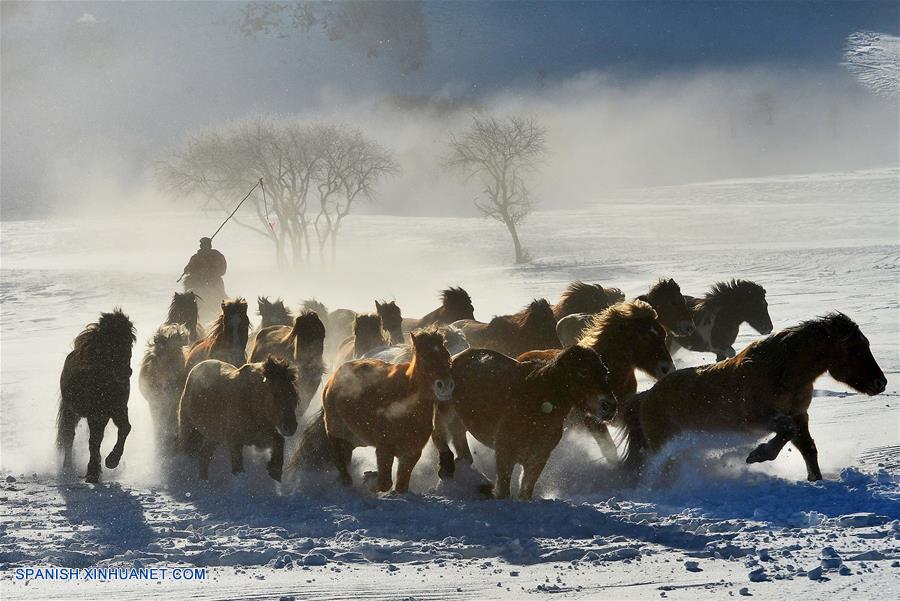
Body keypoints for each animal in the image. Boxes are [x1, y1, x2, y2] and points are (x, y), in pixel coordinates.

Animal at [58, 310, 137, 482]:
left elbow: (125, 428)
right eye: (110, 342)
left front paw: (111, 461)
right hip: (70, 411)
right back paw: (67, 467)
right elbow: (94, 440)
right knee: (69, 436)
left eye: (129, 341)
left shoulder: (117, 409)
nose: (125, 372)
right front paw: (93, 472)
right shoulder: (96, 413)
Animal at [320, 328, 454, 492]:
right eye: (424, 358)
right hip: (336, 431)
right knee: (340, 462)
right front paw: (371, 481)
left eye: (447, 356)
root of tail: (335, 375)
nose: (445, 385)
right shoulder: (384, 449)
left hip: (356, 438)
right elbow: (385, 484)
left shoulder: (411, 453)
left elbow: (401, 486)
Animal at [438, 344, 620, 500]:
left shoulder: (538, 458)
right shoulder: (504, 453)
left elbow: (525, 492)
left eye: (605, 372)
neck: (538, 402)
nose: (609, 406)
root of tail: (456, 357)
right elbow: (503, 491)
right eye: (583, 372)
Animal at [624, 312, 888, 480]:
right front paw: (758, 455)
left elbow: (808, 448)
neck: (780, 372)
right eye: (854, 350)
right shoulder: (757, 420)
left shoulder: (800, 415)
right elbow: (786, 430)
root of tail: (646, 398)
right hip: (662, 447)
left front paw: (816, 479)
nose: (881, 383)